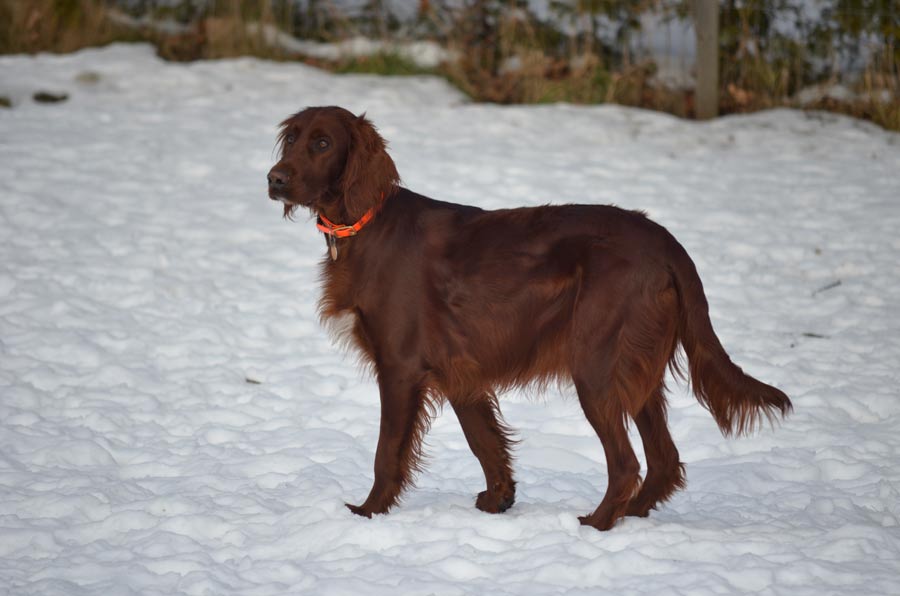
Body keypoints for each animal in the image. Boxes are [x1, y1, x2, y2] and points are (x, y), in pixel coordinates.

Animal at [266, 107, 788, 532]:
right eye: (291, 138)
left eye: (323, 143)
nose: (274, 179)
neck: (367, 222)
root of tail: (665, 241)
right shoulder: (460, 373)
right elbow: (485, 443)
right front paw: (499, 500)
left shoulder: (400, 367)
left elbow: (386, 452)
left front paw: (368, 512)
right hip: (637, 372)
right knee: (664, 461)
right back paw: (630, 516)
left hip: (596, 368)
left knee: (626, 464)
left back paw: (598, 523)